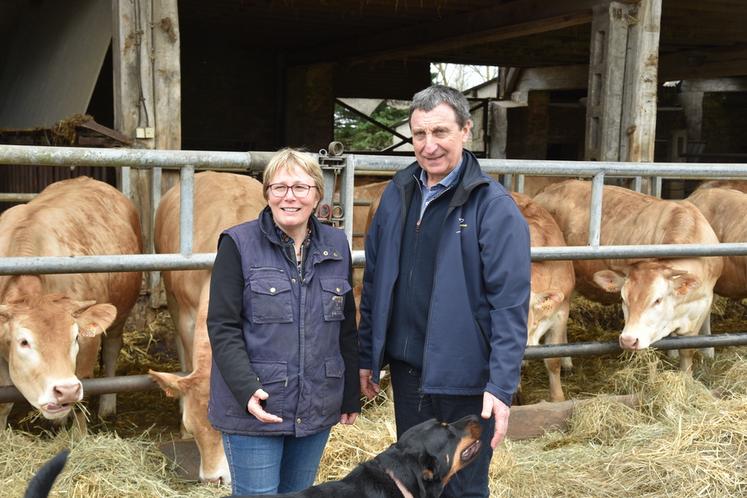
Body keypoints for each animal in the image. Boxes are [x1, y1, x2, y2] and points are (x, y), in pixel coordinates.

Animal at [0, 177, 142, 426]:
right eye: (24, 342)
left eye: (75, 337)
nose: (65, 390)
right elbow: (3, 403)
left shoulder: (88, 345)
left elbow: (82, 400)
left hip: (121, 312)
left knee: (112, 350)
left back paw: (107, 407)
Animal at [536, 181, 720, 372]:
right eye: (623, 299)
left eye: (658, 300)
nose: (629, 340)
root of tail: (551, 187)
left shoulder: (703, 306)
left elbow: (687, 350)